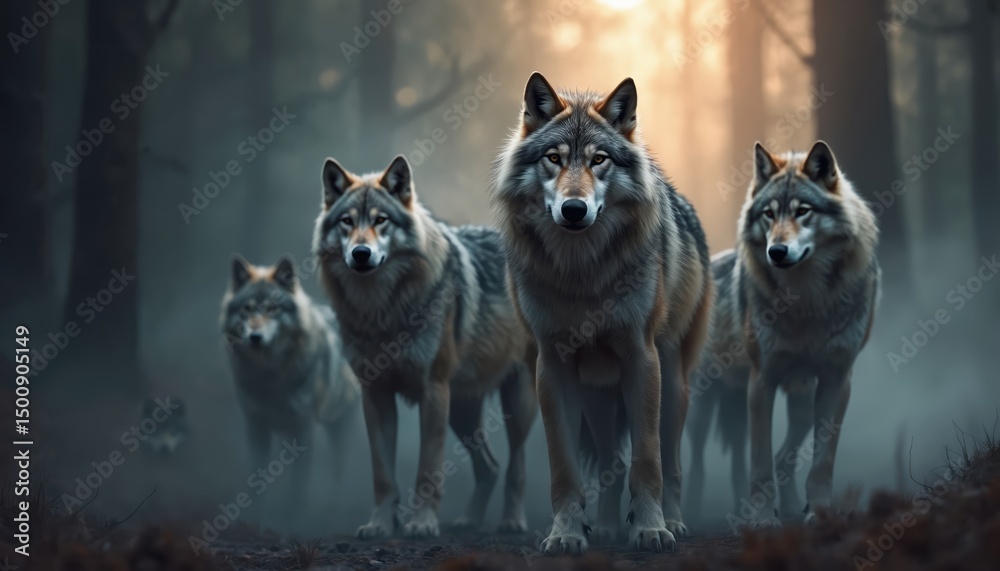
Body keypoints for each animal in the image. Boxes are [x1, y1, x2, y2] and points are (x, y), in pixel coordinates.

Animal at [221, 255, 361, 506]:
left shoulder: (302, 430)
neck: (270, 375)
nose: (255, 337)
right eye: (247, 309)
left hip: (339, 427)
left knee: (342, 470)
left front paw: (292, 512)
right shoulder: (256, 427)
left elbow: (298, 487)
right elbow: (257, 478)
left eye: (271, 308)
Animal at [313, 155, 538, 539]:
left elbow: (427, 470)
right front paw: (380, 525)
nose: (361, 253)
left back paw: (512, 523)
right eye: (347, 222)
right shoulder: (375, 394)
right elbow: (383, 474)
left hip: (516, 402)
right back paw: (468, 522)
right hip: (462, 411)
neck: (382, 311)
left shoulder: (433, 391)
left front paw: (421, 524)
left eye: (381, 220)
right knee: (490, 467)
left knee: (517, 467)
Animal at [491, 73, 713, 553]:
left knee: (671, 460)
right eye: (554, 158)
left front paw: (651, 529)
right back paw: (610, 527)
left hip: (674, 383)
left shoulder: (641, 358)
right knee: (613, 460)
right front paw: (566, 533)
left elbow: (648, 459)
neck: (582, 276)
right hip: (595, 393)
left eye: (599, 160)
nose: (574, 209)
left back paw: (674, 520)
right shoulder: (551, 365)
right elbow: (565, 468)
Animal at [685, 141, 880, 528]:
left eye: (803, 211)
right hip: (702, 404)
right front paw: (762, 521)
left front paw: (818, 512)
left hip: (799, 400)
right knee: (695, 460)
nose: (776, 251)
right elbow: (759, 463)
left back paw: (779, 508)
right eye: (768, 215)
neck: (807, 302)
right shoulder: (761, 380)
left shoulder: (837, 380)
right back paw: (691, 514)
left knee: (779, 457)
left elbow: (821, 461)